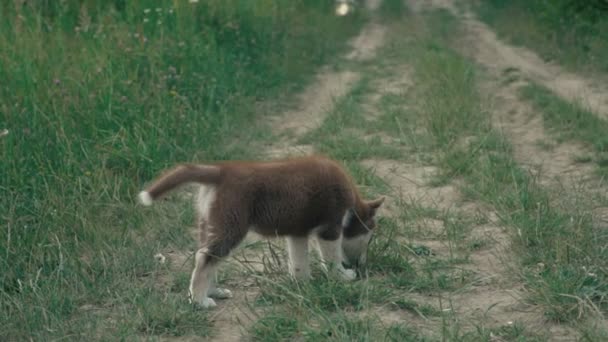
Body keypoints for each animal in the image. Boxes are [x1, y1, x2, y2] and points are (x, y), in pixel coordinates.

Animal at [138, 155, 384, 308]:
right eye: (368, 240)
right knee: (204, 258)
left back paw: (212, 291)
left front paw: (303, 283)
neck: (352, 207)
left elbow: (298, 261)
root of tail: (221, 170)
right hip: (231, 225)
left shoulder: (297, 231)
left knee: (208, 257)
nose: (362, 266)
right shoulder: (330, 227)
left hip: (210, 224)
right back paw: (199, 301)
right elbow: (331, 258)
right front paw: (342, 276)